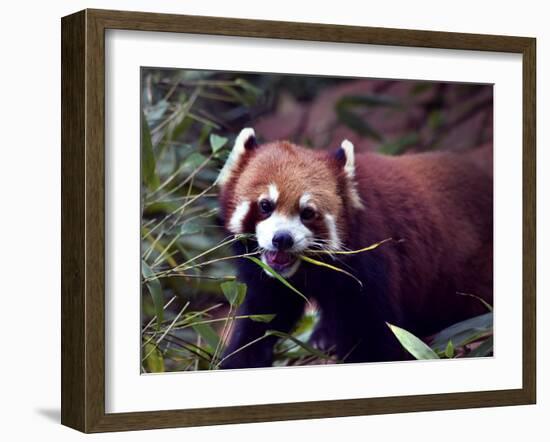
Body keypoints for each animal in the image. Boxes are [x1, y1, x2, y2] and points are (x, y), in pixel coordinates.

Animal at [217, 126, 496, 368]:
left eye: (307, 213)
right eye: (266, 205)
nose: (282, 239)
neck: (307, 270)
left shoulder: (369, 261)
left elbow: (373, 331)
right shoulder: (269, 278)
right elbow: (262, 316)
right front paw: (239, 358)